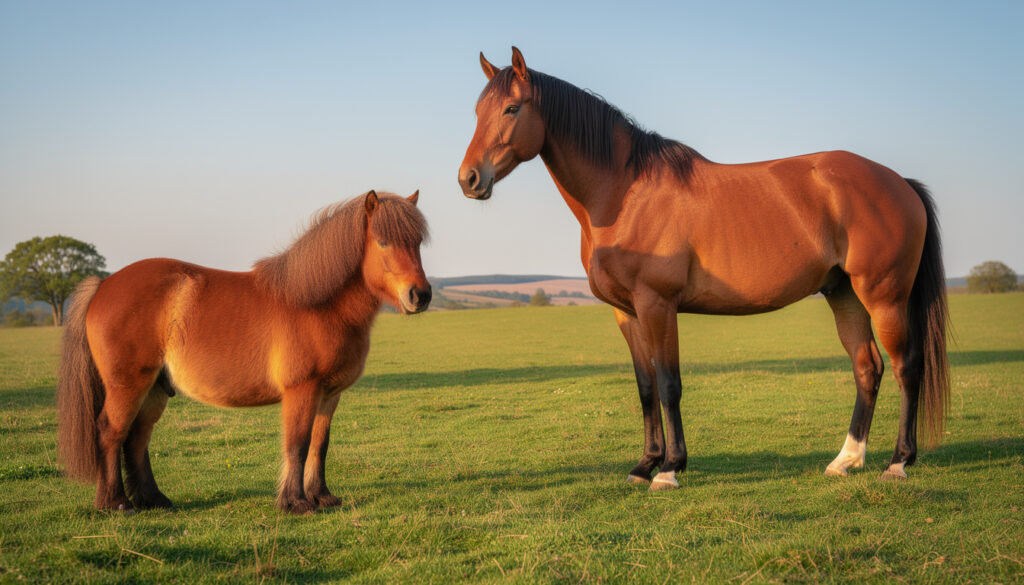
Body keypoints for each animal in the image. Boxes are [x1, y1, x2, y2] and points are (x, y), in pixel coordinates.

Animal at [57, 190, 431, 513]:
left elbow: (319, 445)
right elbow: (297, 444)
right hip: (128, 385)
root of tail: (103, 285)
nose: (421, 295)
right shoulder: (302, 390)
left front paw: (323, 497)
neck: (317, 304)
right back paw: (116, 503)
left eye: (417, 242)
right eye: (383, 241)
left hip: (154, 389)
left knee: (136, 438)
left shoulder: (330, 394)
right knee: (111, 432)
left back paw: (153, 499)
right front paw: (295, 503)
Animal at [458, 48, 949, 490]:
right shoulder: (627, 312)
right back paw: (845, 460)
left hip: (883, 296)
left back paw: (898, 463)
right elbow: (645, 387)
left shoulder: (657, 305)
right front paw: (644, 465)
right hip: (844, 294)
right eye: (477, 111)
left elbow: (669, 384)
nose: (469, 179)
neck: (624, 194)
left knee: (906, 367)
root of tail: (899, 181)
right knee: (867, 368)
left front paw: (670, 469)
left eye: (512, 108)